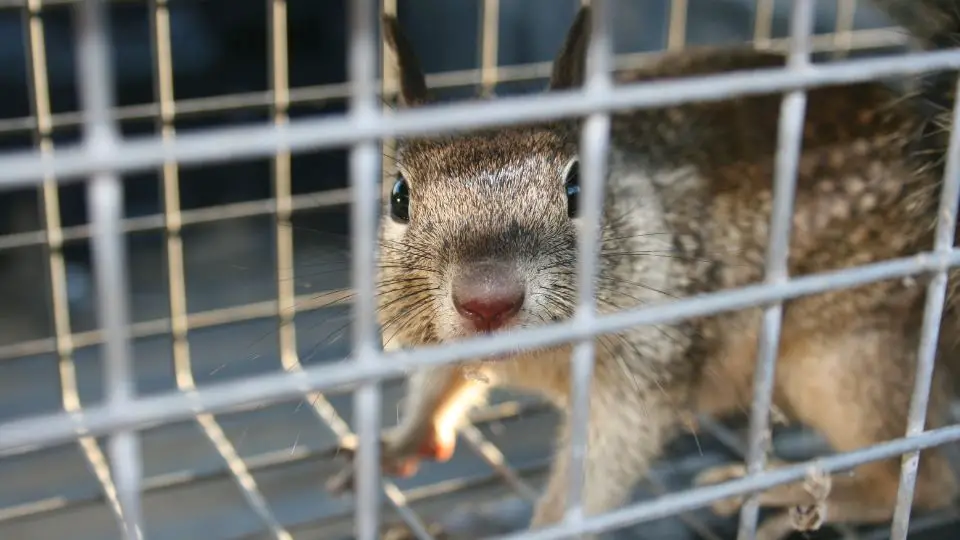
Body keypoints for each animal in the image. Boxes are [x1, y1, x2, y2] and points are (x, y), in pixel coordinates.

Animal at [328, 2, 960, 536]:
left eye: (578, 188)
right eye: (398, 197)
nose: (488, 298)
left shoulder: (646, 367)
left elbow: (600, 469)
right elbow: (435, 384)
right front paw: (399, 441)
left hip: (848, 362)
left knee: (922, 481)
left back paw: (790, 495)